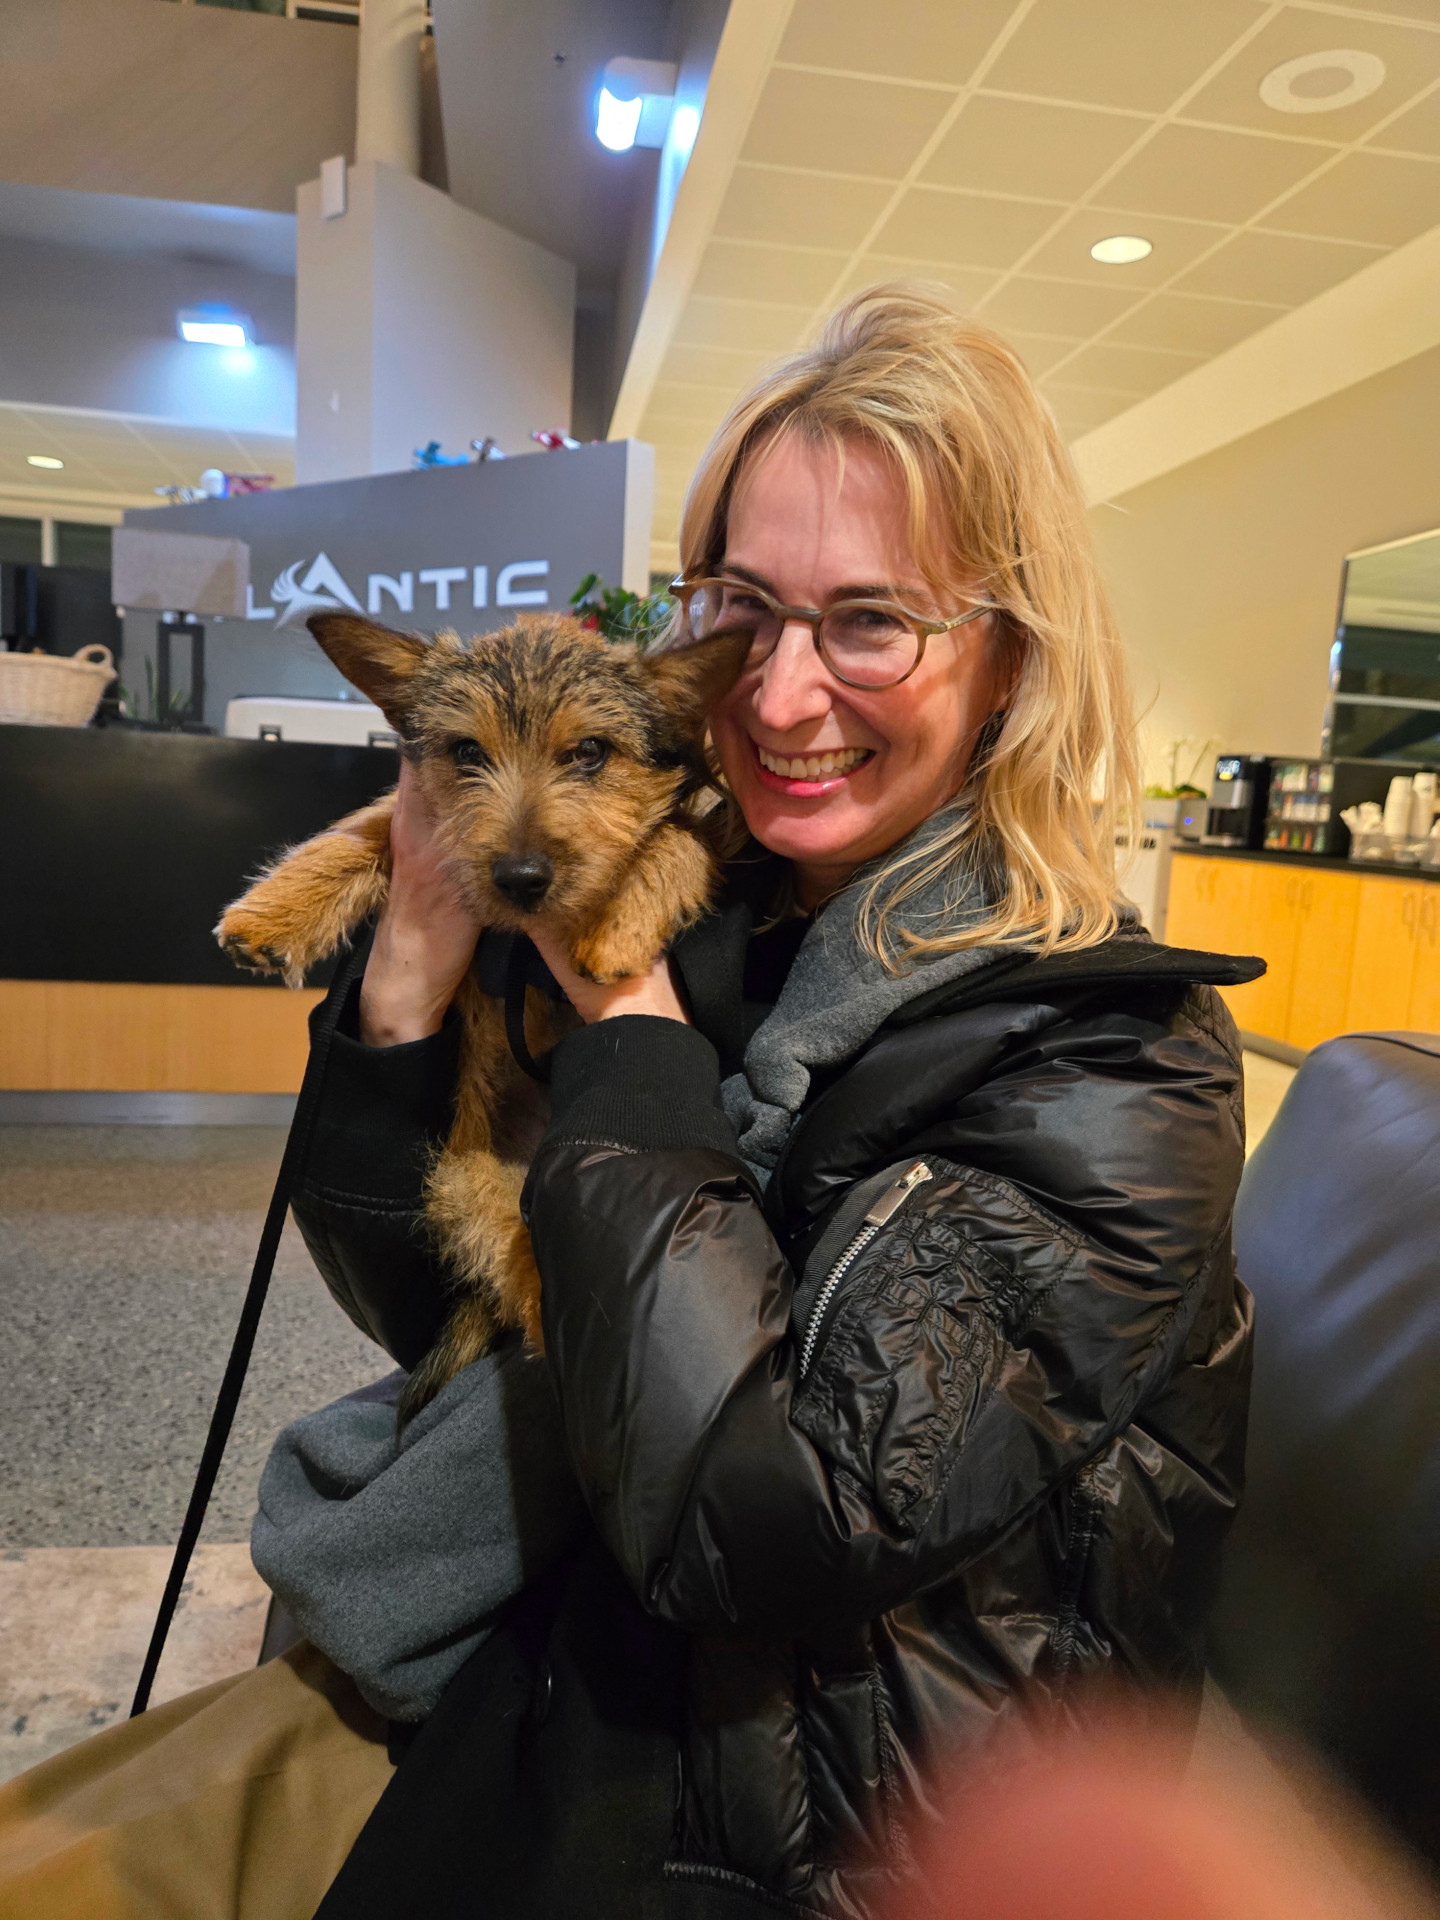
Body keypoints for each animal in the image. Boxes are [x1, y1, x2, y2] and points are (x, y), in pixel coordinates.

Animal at [216, 610, 747, 1418]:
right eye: (467, 752)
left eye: (590, 752)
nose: (520, 877)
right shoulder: (425, 827)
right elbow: (360, 828)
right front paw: (272, 913)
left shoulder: (699, 831)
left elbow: (674, 840)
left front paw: (619, 923)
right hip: (466, 1186)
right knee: (519, 1274)